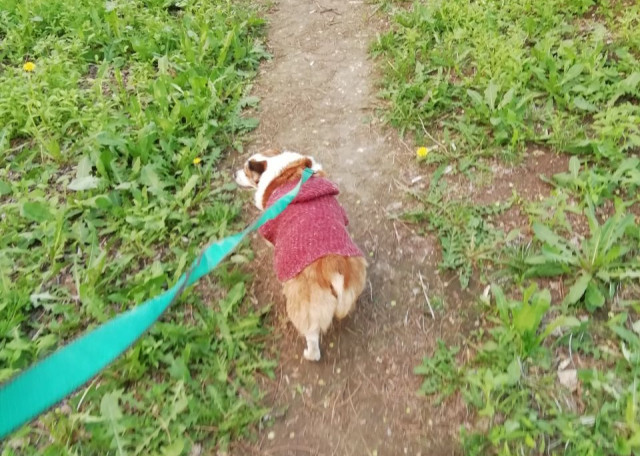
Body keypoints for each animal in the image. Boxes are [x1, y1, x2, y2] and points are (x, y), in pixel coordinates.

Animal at [234, 149, 367, 361]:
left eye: (246, 172)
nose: (234, 174)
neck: (283, 171)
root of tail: (332, 268)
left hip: (304, 309)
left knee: (312, 339)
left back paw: (309, 354)